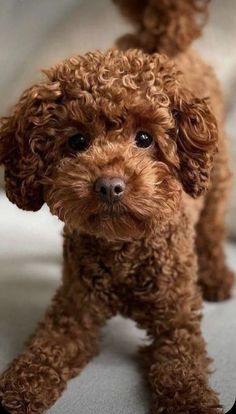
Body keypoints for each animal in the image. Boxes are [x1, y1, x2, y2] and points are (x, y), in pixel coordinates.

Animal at [0, 0, 233, 414]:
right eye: (77, 141)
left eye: (144, 138)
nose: (109, 186)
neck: (123, 247)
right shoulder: (73, 312)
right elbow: (43, 352)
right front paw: (18, 390)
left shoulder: (176, 321)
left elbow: (182, 366)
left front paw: (193, 401)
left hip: (217, 179)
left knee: (211, 229)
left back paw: (217, 276)